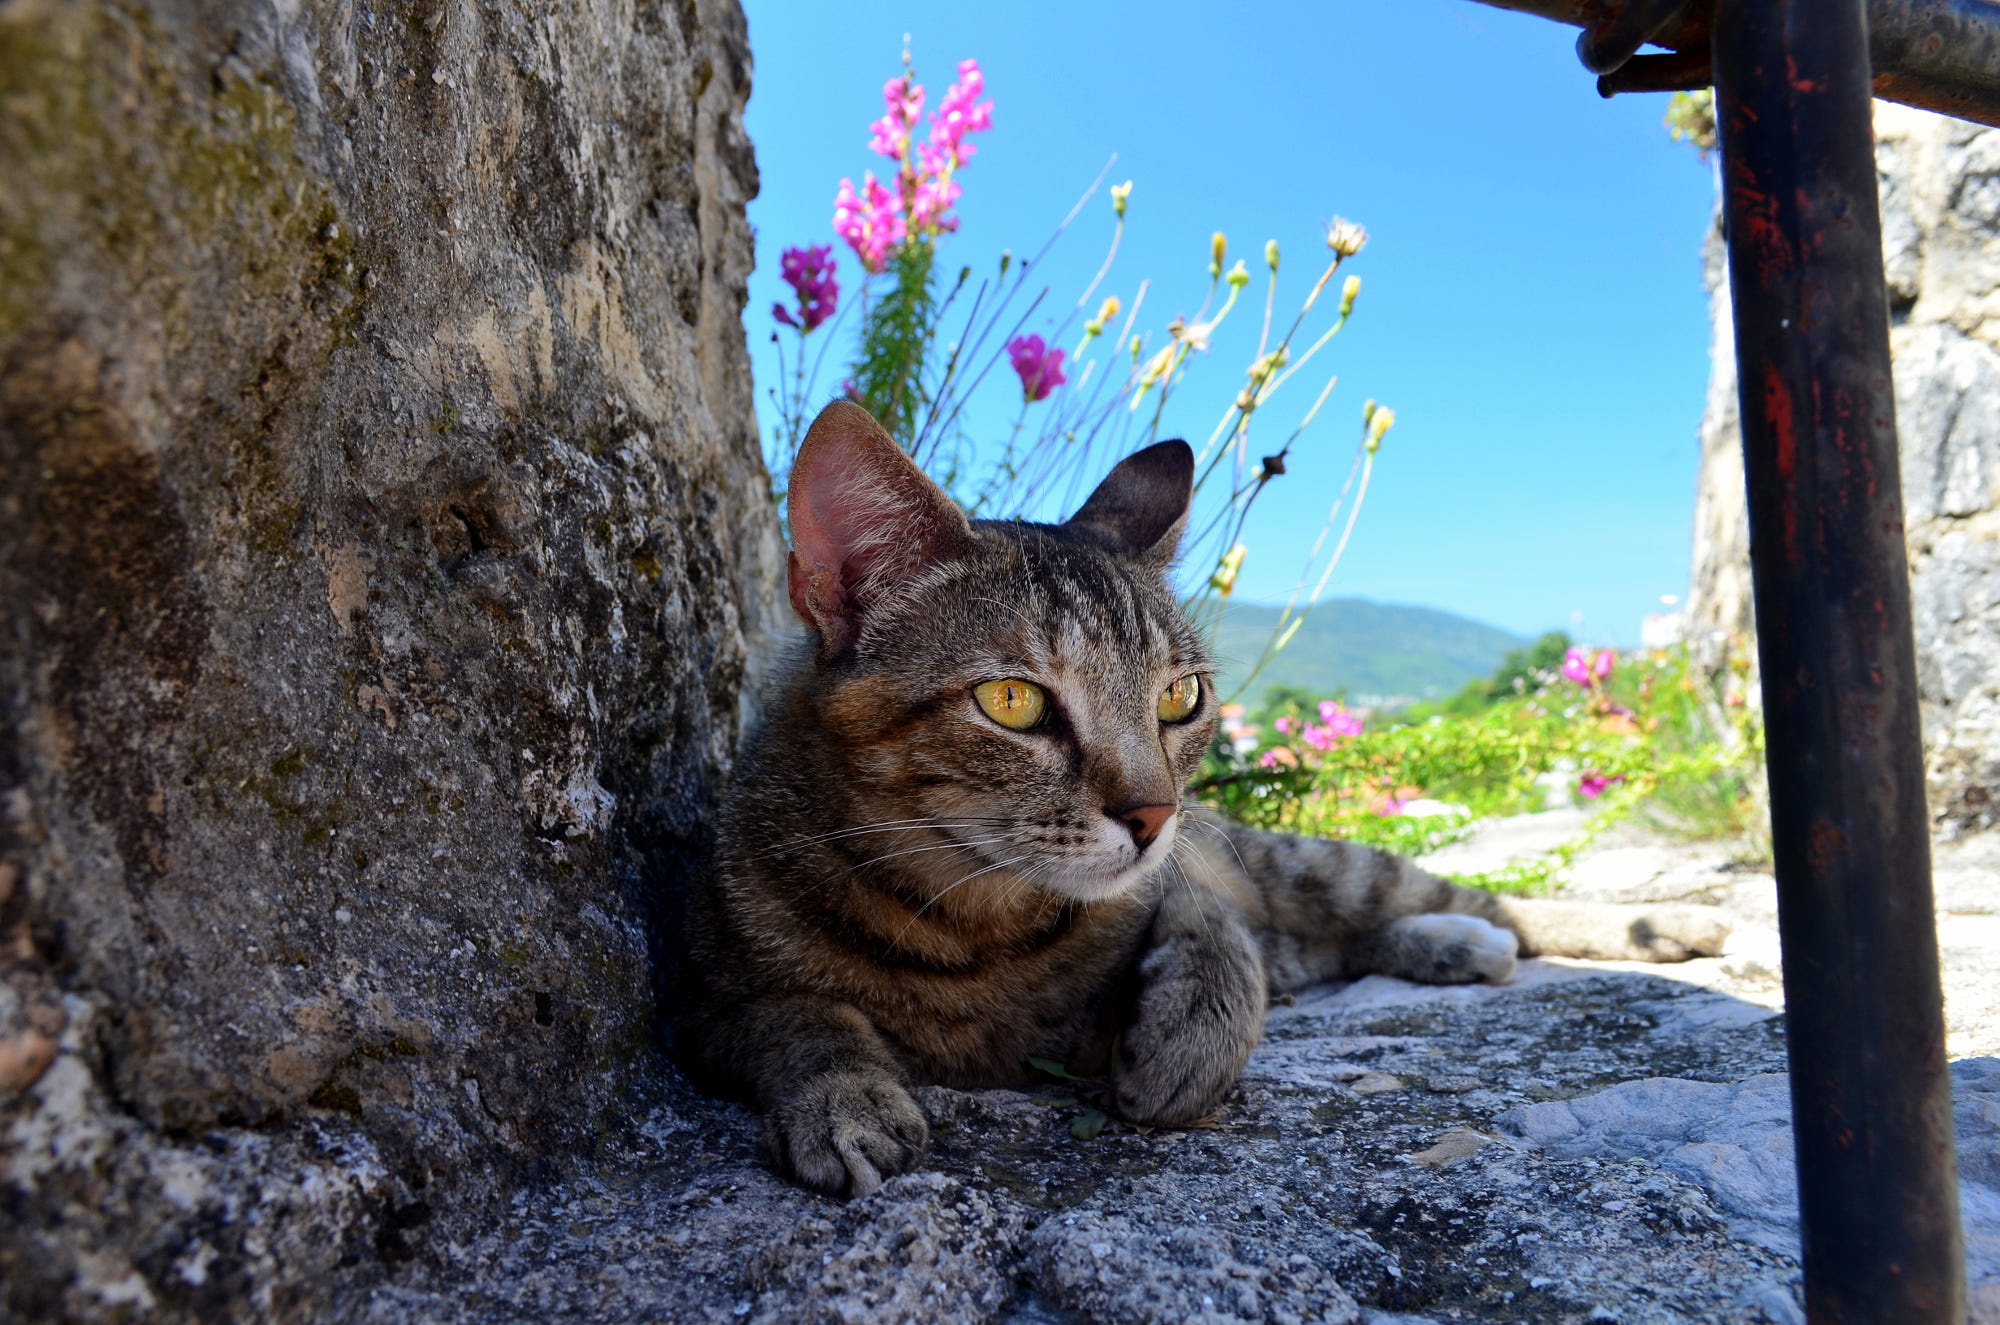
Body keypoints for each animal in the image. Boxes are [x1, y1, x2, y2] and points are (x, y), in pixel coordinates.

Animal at [680, 400, 1728, 1200]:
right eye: (1012, 701)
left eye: (1179, 697)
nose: (1153, 816)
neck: (970, 926)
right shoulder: (709, 1004)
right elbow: (804, 1017)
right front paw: (846, 1097)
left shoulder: (1190, 875)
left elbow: (1213, 931)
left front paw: (1185, 1039)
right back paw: (1451, 948)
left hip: (1313, 861)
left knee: (1447, 902)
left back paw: (1651, 926)